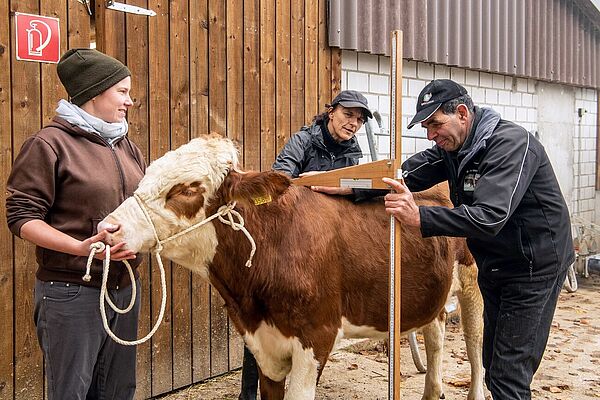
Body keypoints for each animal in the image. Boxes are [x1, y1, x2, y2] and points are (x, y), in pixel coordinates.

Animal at [98, 135, 482, 400]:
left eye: (186, 189)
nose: (108, 229)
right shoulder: (262, 343)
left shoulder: (317, 336)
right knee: (436, 335)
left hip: (474, 285)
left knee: (475, 347)